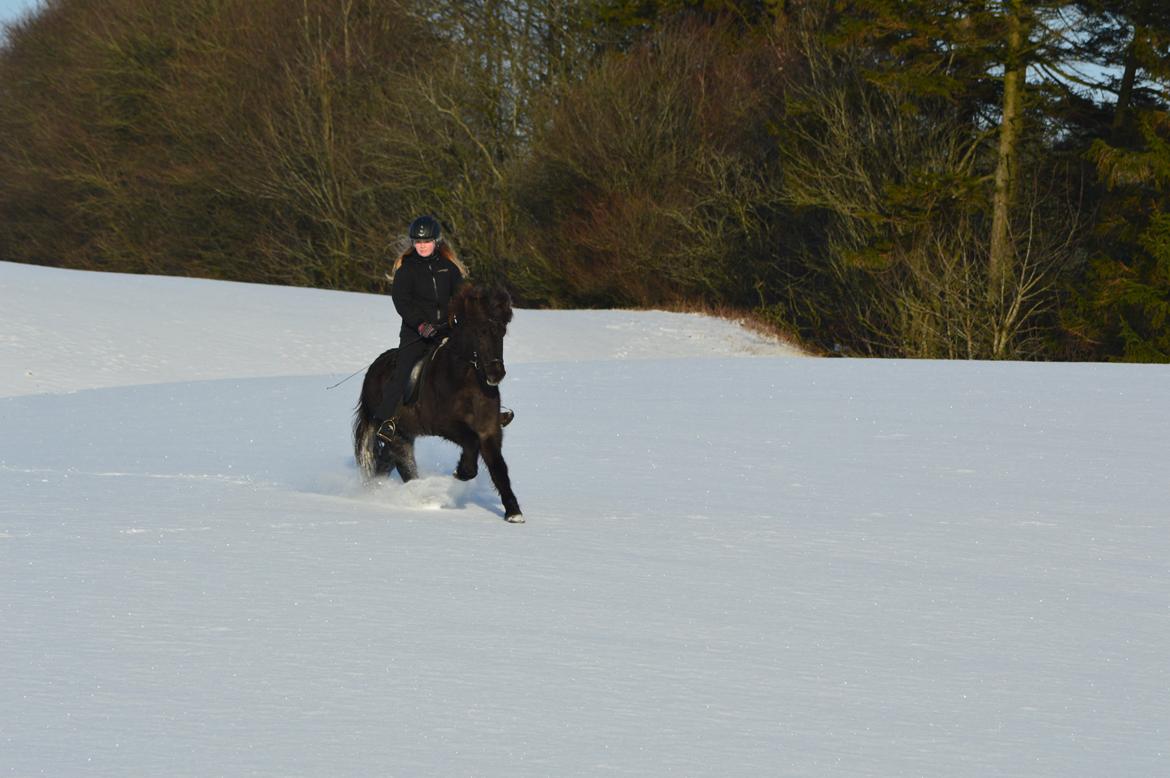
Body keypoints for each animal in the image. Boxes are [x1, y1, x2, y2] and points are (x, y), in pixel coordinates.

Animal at [351, 285, 526, 521]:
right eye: (480, 330)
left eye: (502, 331)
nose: (495, 374)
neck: (466, 380)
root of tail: (372, 371)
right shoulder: (446, 425)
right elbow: (471, 442)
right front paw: (462, 471)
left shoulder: (489, 430)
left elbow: (499, 470)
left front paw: (514, 513)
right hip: (395, 432)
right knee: (403, 465)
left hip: (403, 433)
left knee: (388, 464)